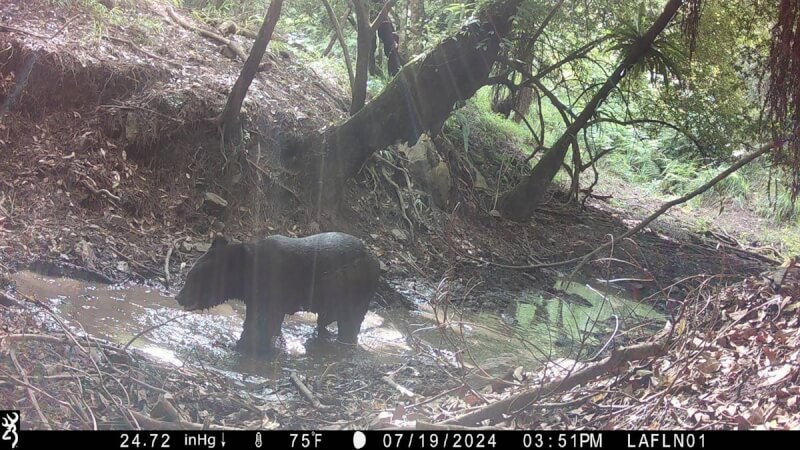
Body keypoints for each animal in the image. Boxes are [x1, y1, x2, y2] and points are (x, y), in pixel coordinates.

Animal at [177, 232, 382, 356]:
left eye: (193, 277)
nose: (179, 296)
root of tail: (373, 259)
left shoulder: (273, 288)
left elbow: (263, 323)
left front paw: (241, 345)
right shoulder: (255, 297)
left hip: (353, 288)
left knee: (349, 323)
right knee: (326, 319)